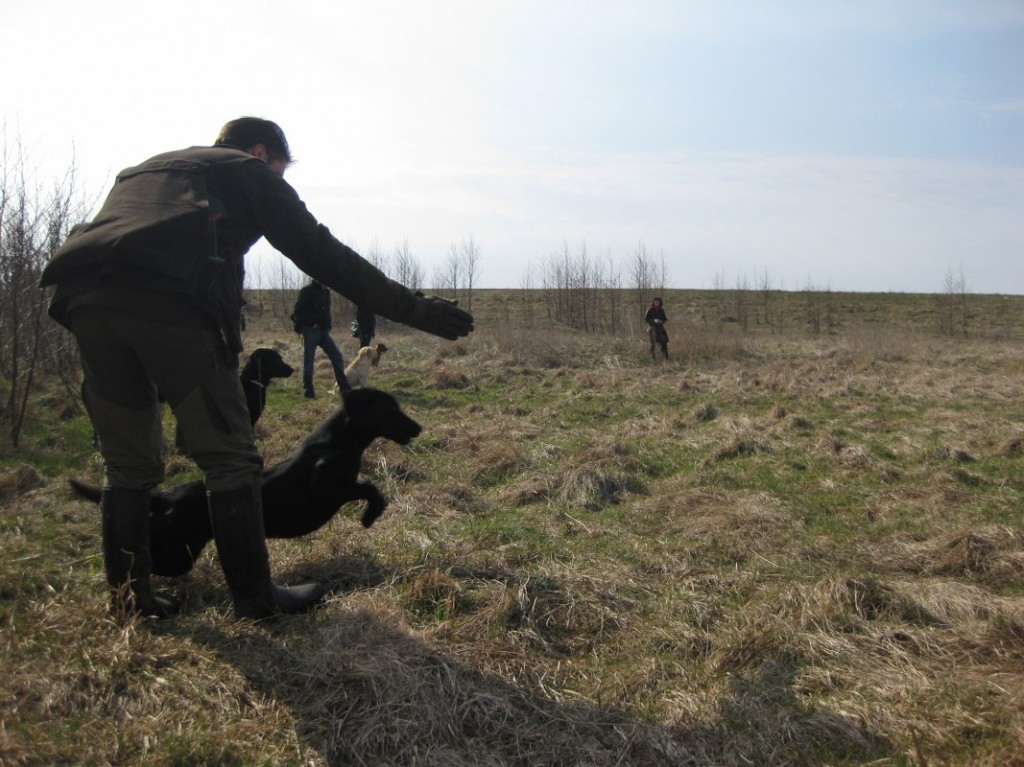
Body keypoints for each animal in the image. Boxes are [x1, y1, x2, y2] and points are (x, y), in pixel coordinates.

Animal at [70, 389, 419, 573]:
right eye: (390, 410)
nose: (418, 428)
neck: (337, 442)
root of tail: (169, 495)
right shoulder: (328, 488)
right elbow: (371, 488)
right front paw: (369, 517)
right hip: (178, 550)